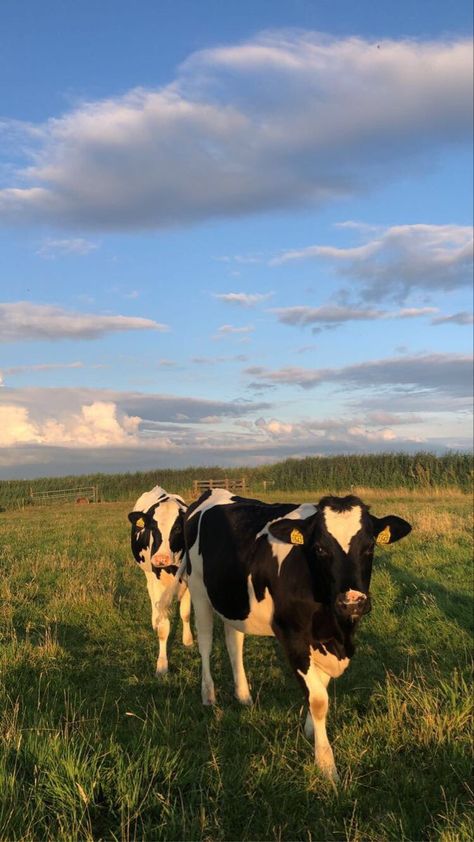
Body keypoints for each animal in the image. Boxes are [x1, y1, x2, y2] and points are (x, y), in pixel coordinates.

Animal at [128, 486, 193, 668]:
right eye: (153, 528)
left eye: (178, 528)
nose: (160, 559)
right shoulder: (157, 580)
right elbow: (164, 628)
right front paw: (162, 664)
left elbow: (185, 613)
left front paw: (188, 640)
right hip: (148, 572)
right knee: (151, 593)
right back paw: (154, 620)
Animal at [167, 488, 412, 776]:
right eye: (319, 549)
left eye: (370, 546)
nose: (352, 602)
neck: (335, 627)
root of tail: (212, 491)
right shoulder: (293, 637)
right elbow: (318, 699)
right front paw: (326, 764)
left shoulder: (325, 641)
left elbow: (320, 685)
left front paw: (310, 730)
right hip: (198, 590)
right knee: (205, 641)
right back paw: (208, 695)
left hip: (234, 599)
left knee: (233, 641)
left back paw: (243, 694)